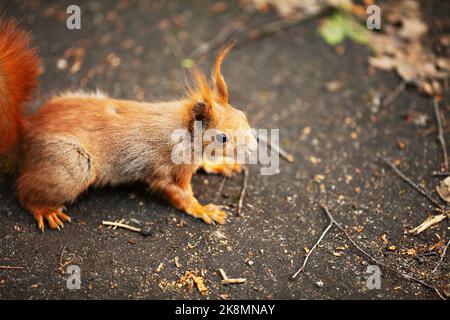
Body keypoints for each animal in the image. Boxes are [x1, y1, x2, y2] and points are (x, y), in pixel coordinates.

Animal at [0, 18, 256, 231]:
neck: (184, 136)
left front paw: (221, 164)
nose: (253, 147)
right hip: (71, 167)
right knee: (24, 190)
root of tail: (27, 131)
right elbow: (177, 193)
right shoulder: (162, 169)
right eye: (222, 138)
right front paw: (202, 208)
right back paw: (44, 209)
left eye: (243, 115)